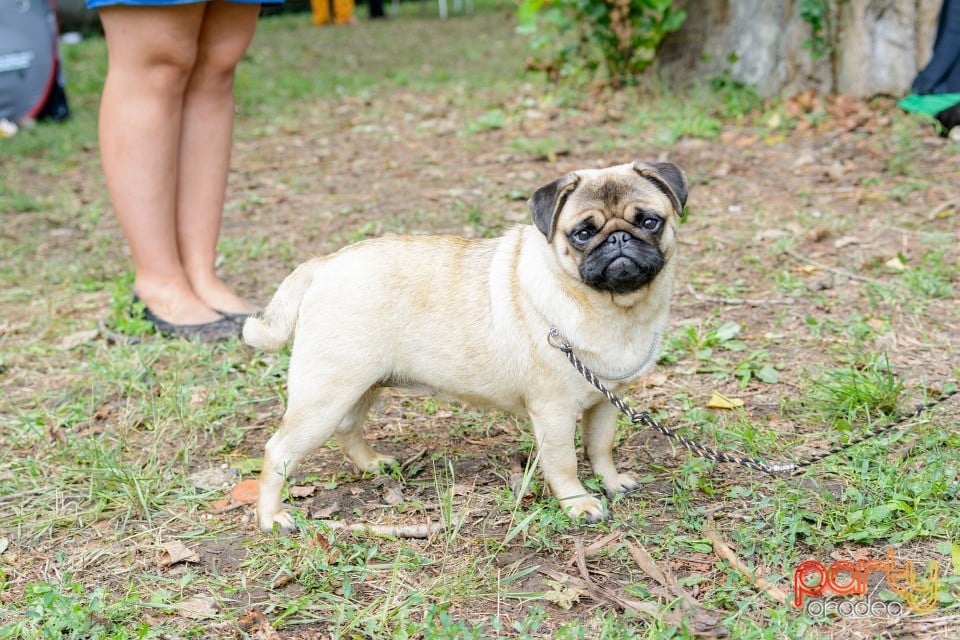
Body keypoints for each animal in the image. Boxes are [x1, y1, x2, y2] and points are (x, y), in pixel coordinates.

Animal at [244, 161, 688, 536]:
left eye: (649, 222)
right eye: (582, 233)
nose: (619, 239)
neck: (613, 309)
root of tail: (323, 264)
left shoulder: (605, 403)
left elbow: (600, 447)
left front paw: (611, 482)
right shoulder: (554, 413)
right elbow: (565, 463)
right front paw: (579, 503)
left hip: (359, 386)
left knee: (348, 428)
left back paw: (372, 464)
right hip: (326, 394)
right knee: (278, 451)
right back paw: (272, 517)